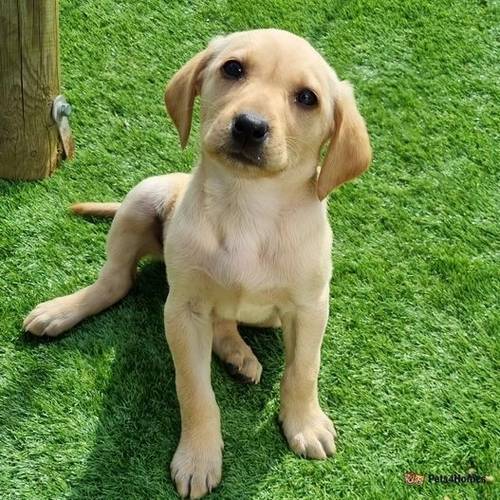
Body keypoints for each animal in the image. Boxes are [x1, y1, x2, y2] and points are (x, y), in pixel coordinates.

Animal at [23, 29, 372, 498]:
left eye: (307, 98)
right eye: (233, 68)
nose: (249, 126)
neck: (249, 208)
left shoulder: (310, 306)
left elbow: (304, 369)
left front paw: (305, 423)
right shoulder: (183, 310)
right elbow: (195, 390)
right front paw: (198, 457)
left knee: (223, 321)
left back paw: (239, 356)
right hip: (141, 199)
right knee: (116, 282)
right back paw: (61, 311)